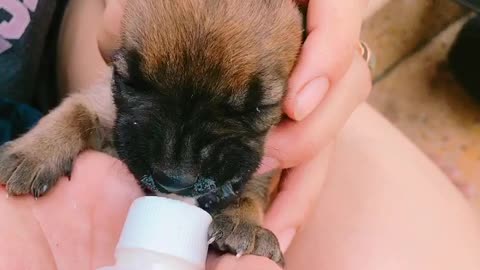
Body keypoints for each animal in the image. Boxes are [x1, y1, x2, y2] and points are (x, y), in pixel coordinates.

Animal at [0, 0, 300, 266]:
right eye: (128, 81)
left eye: (261, 107)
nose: (174, 181)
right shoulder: (102, 103)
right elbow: (75, 110)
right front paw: (33, 152)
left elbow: (255, 183)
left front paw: (245, 220)